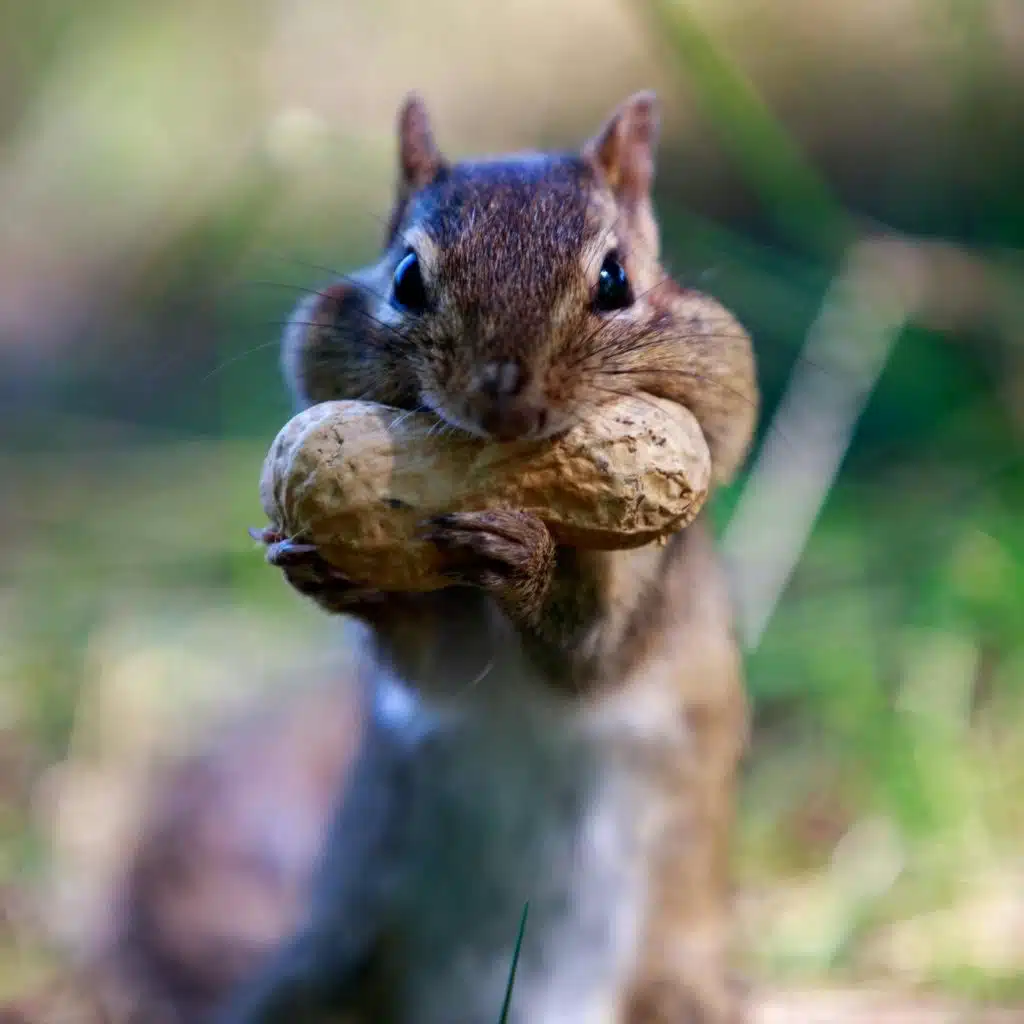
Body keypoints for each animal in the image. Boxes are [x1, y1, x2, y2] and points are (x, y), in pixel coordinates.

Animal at [92, 89, 759, 1024]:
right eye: (406, 278)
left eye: (615, 280)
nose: (506, 396)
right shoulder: (438, 649)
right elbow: (428, 661)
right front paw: (328, 572)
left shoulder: (657, 581)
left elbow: (591, 655)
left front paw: (523, 556)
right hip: (329, 969)